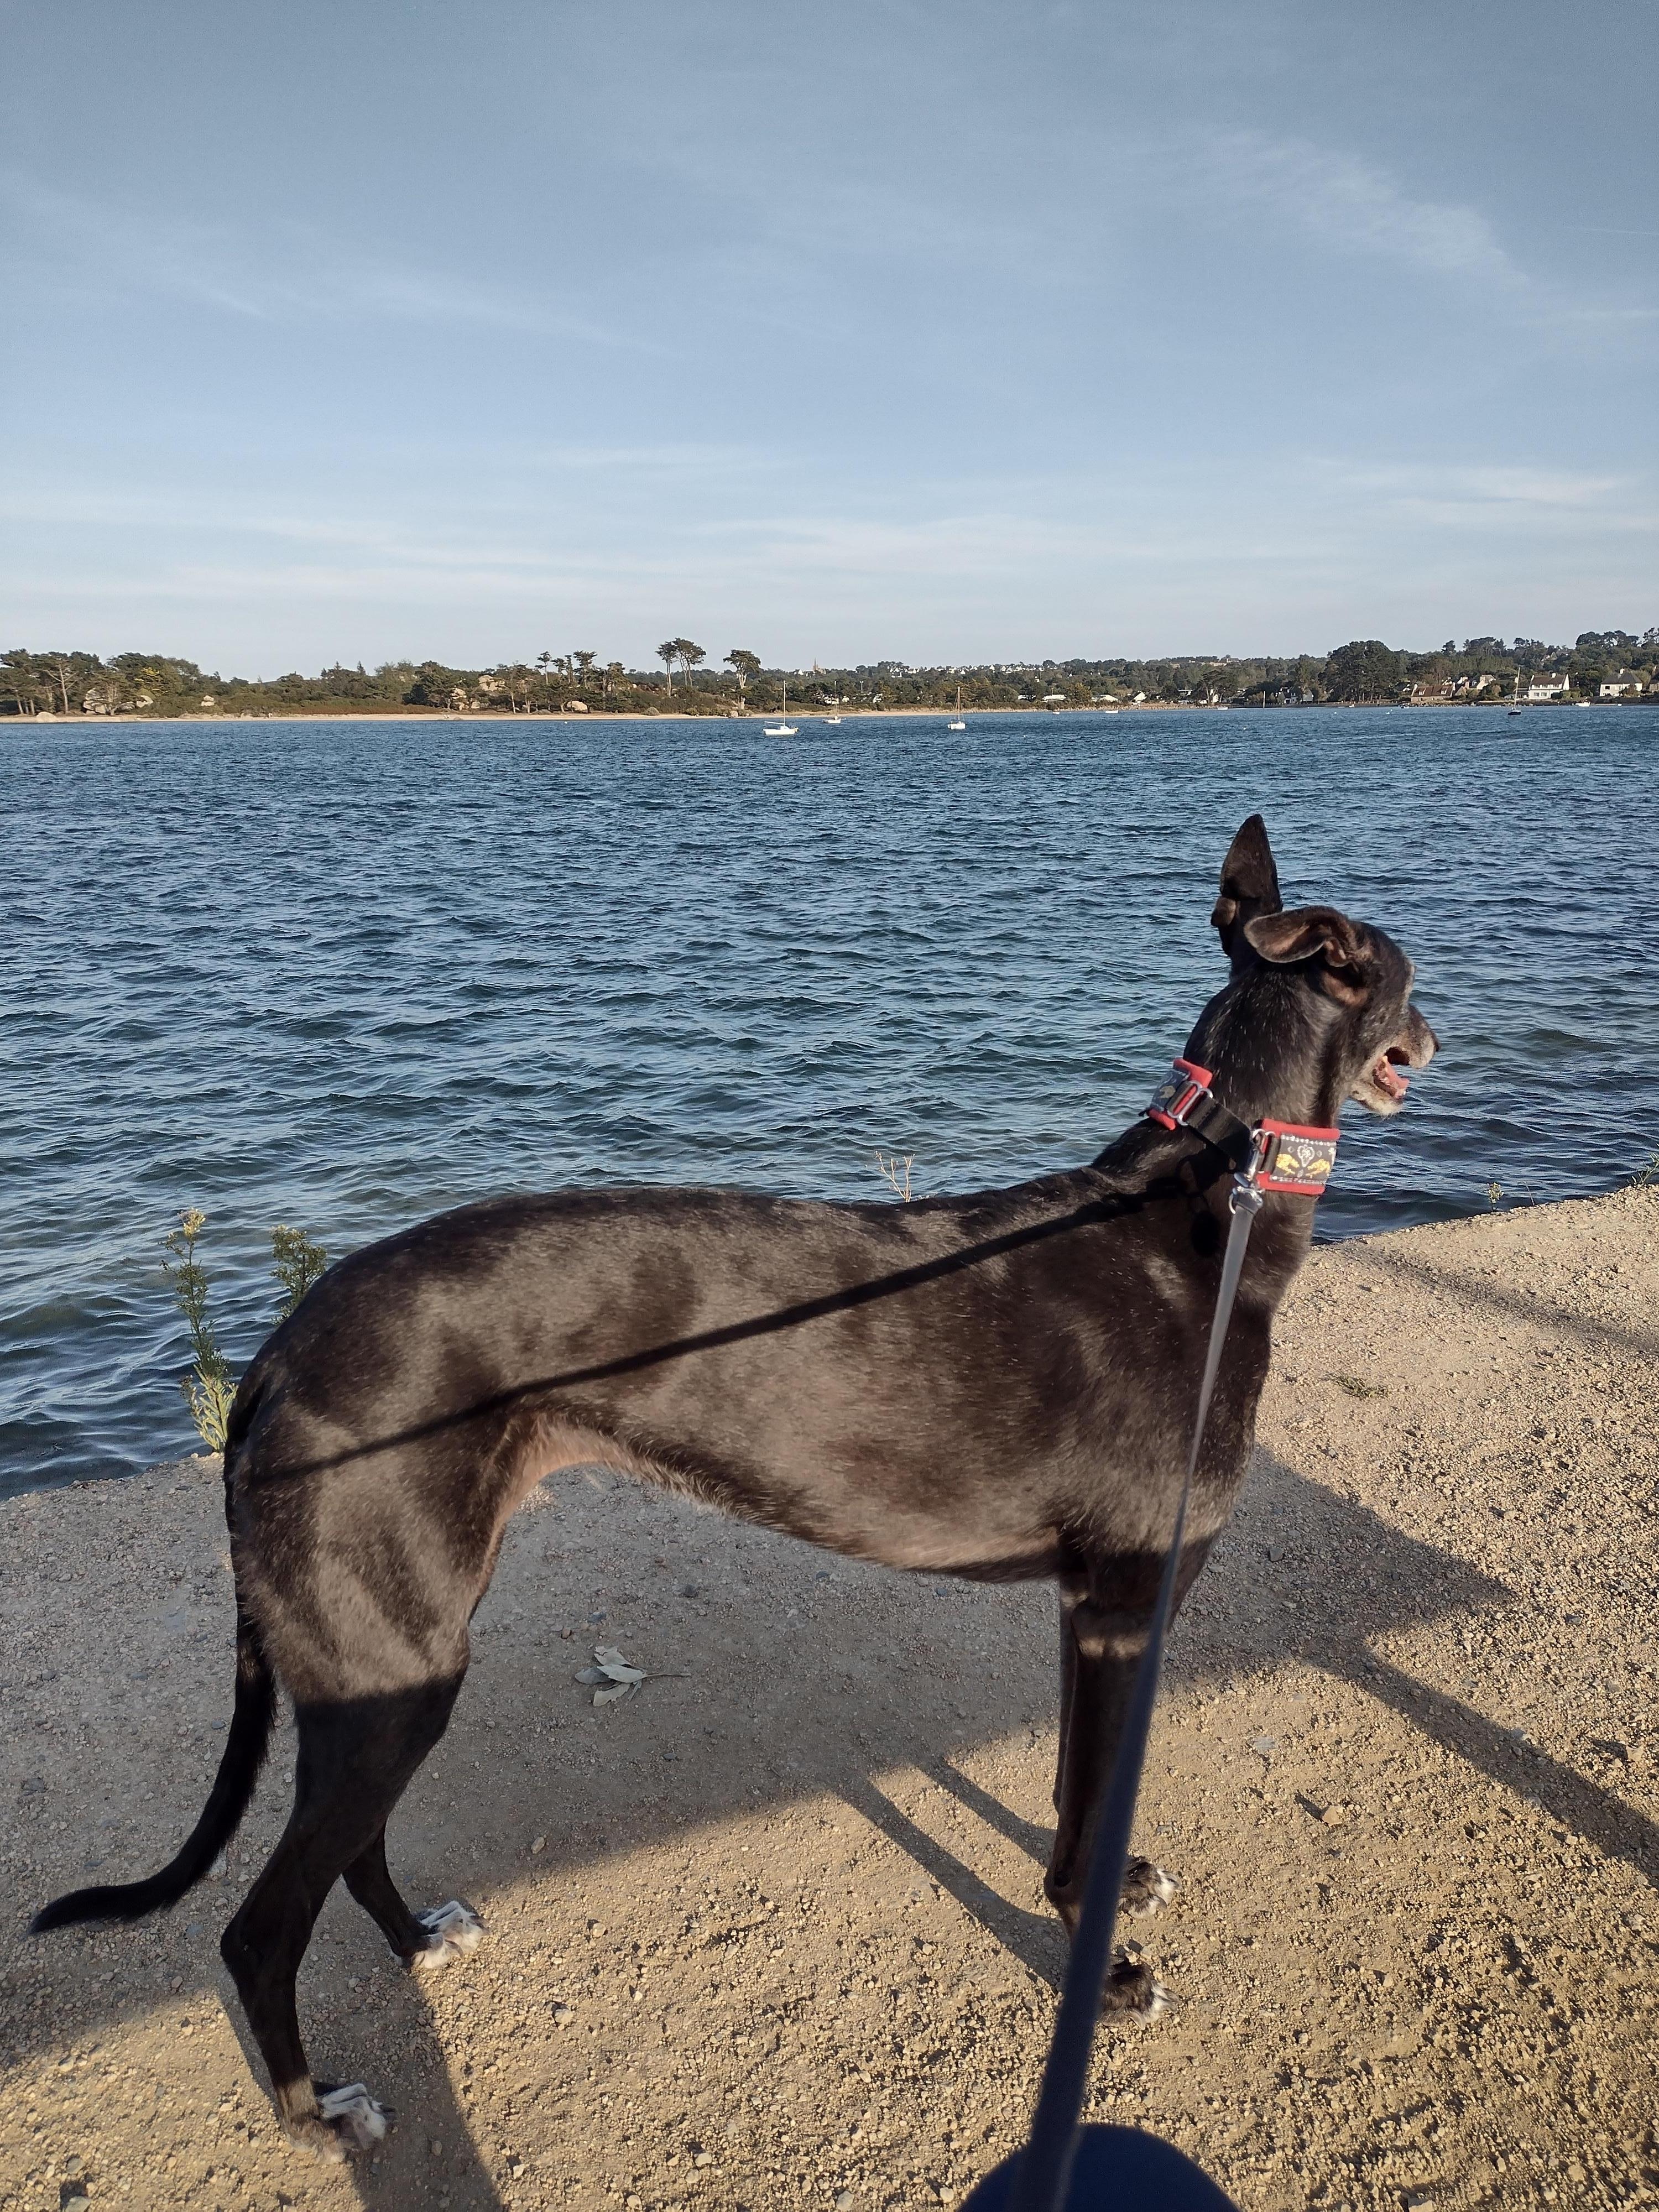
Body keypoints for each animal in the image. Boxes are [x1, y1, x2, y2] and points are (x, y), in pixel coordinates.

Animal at [35, 814, 1435, 2159]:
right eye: (1407, 976)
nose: (1434, 1037)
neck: (1207, 1204)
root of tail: (279, 1352)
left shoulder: (1088, 1610)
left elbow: (1071, 1799)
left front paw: (1119, 1882)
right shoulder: (1121, 1609)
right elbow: (1086, 1806)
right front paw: (1111, 1967)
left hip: (389, 1663)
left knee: (353, 1844)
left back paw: (418, 1938)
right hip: (385, 1664)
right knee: (257, 1929)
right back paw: (314, 2109)